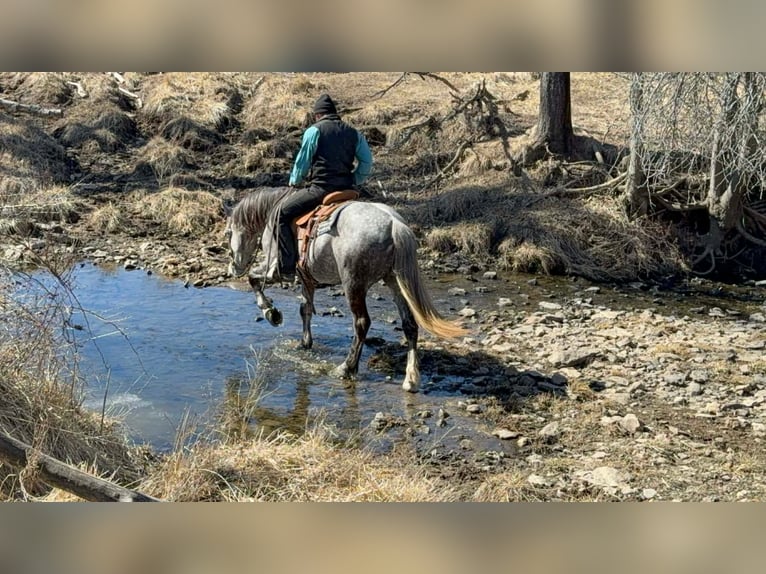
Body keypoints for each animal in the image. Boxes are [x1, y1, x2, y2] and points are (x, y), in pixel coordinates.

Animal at [223, 186, 466, 392]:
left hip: (353, 284)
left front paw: (271, 313)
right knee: (410, 324)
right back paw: (411, 379)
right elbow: (305, 309)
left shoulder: (274, 269)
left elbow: (254, 280)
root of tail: (394, 224)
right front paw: (305, 343)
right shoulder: (306, 278)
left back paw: (346, 368)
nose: (233, 267)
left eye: (228, 233)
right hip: (395, 280)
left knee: (362, 323)